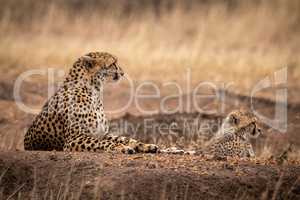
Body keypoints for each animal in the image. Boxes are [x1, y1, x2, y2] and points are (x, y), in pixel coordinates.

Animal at [24, 52, 158, 154]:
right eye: (113, 63)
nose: (122, 73)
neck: (95, 92)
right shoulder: (73, 140)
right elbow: (103, 142)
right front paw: (121, 147)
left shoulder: (102, 133)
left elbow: (125, 139)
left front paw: (145, 145)